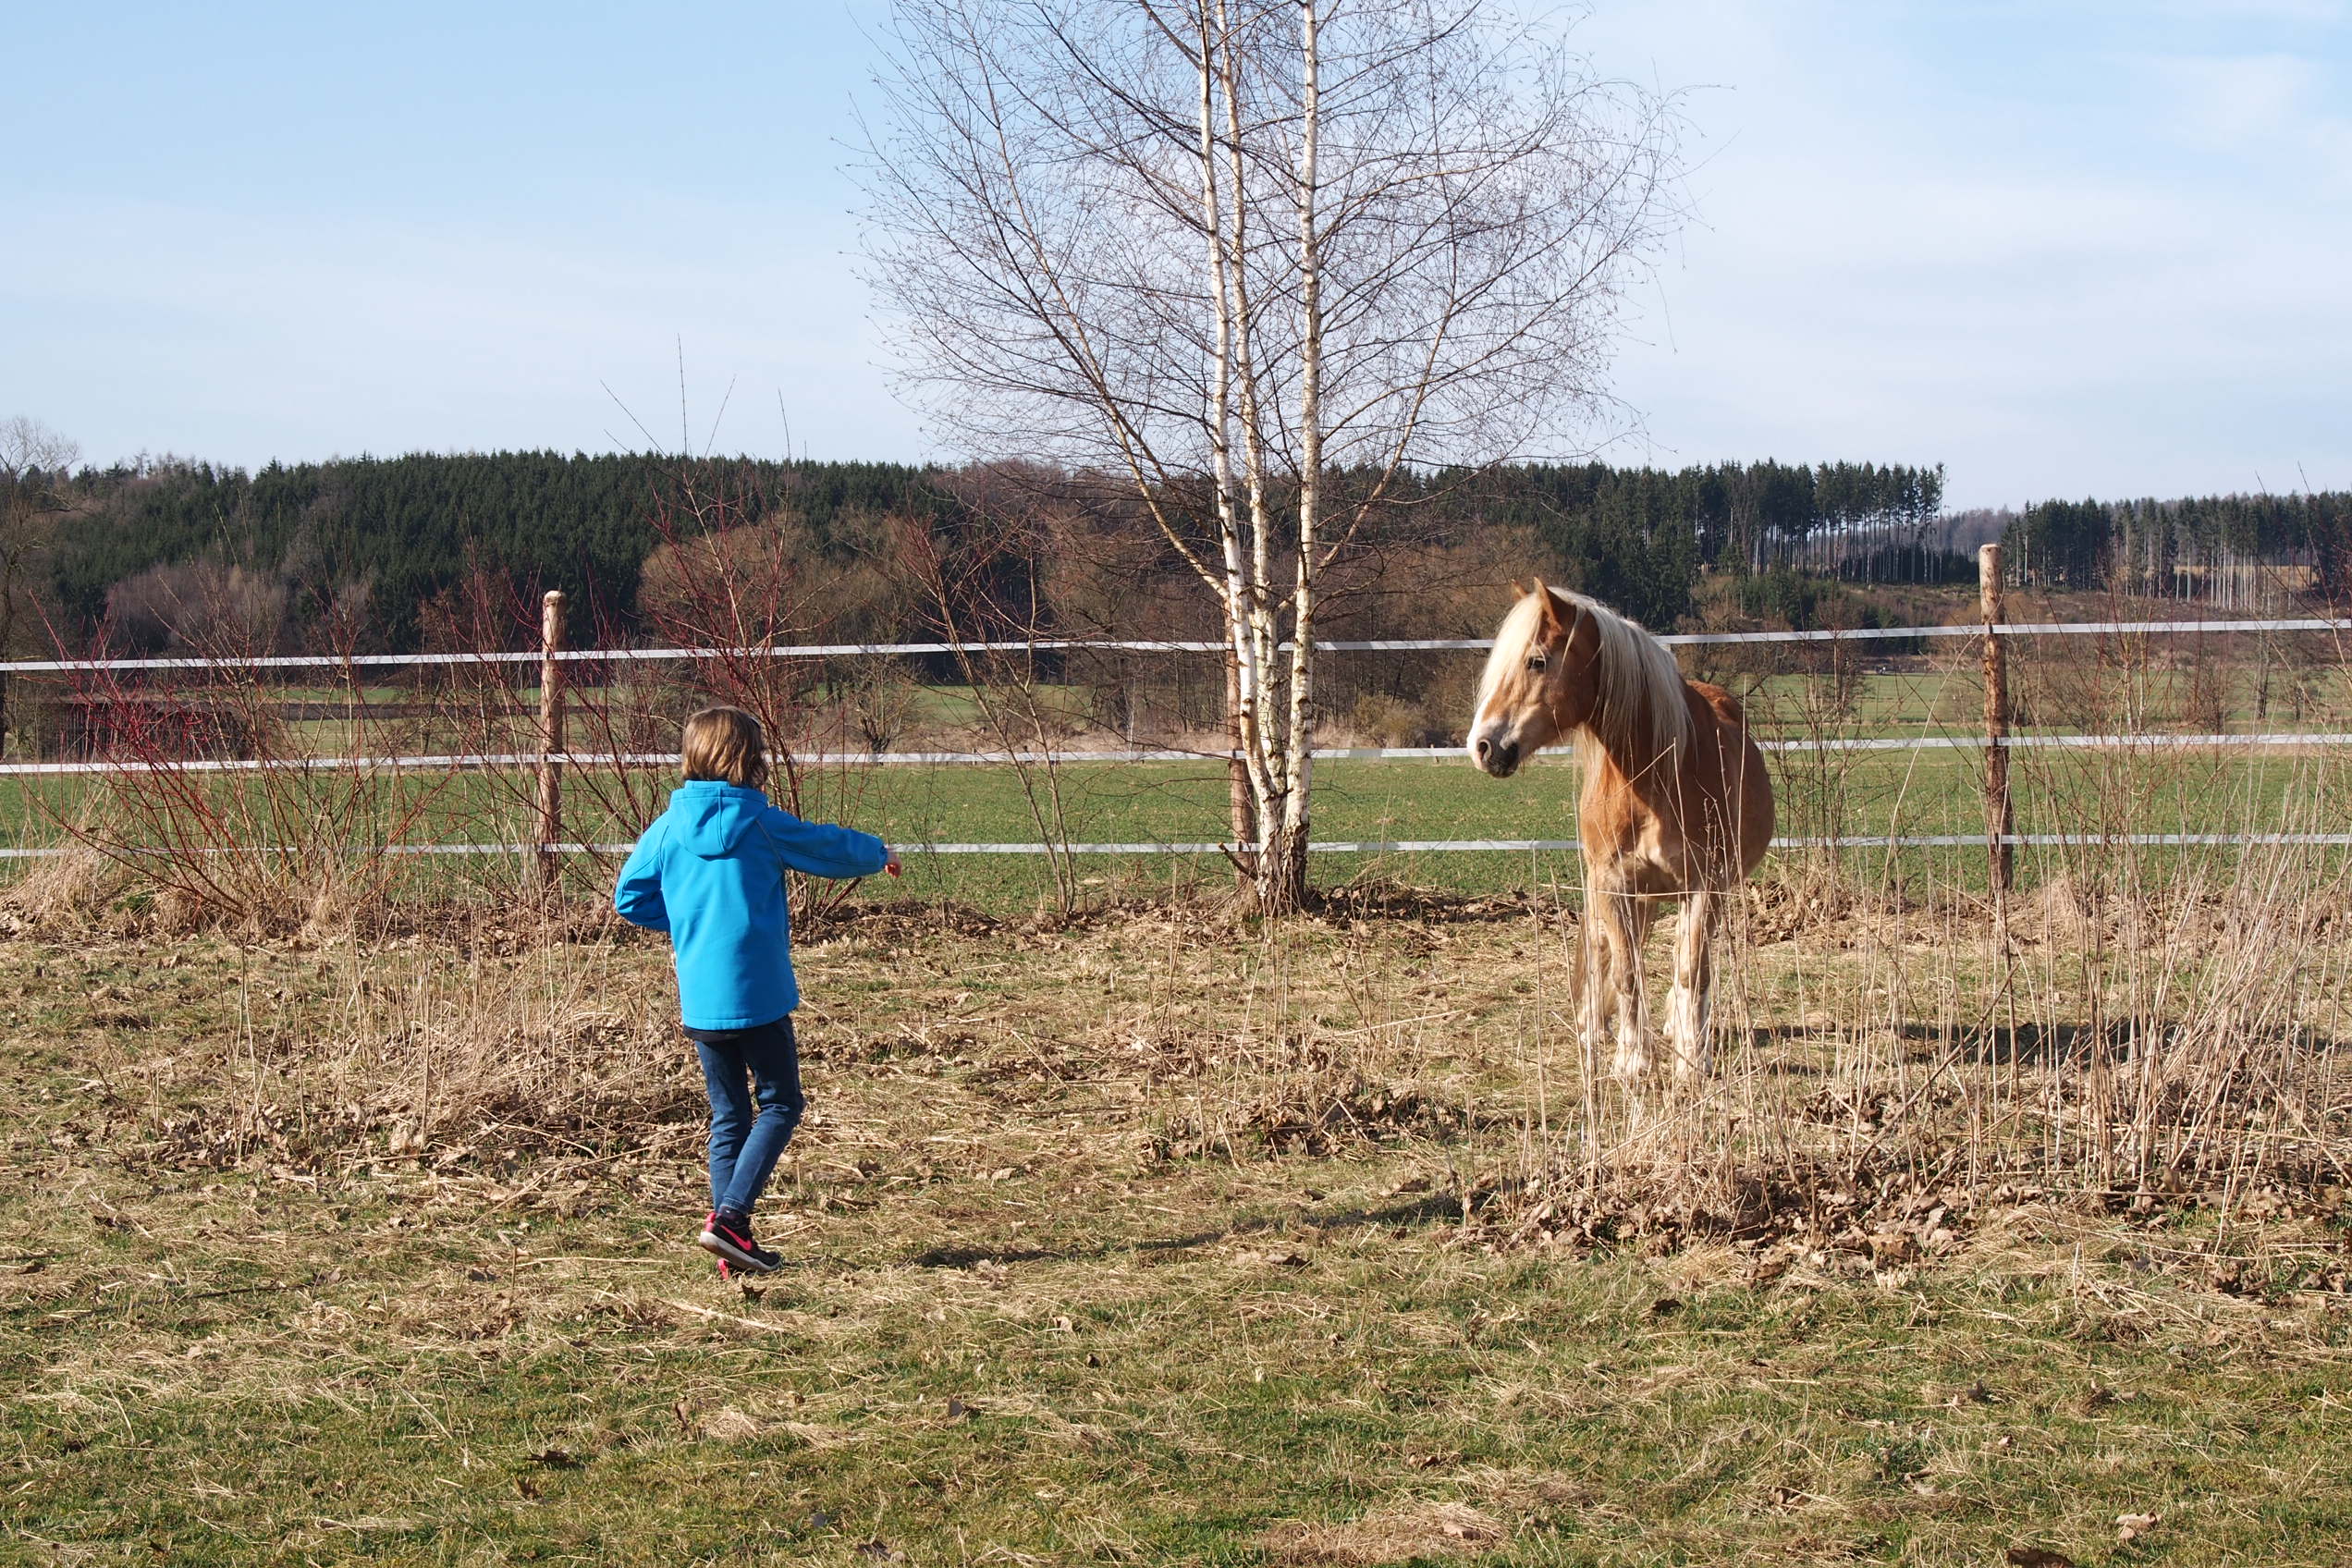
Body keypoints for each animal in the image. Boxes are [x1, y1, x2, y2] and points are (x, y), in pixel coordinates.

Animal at [1467, 580, 1773, 1082]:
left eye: (1536, 661)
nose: (1484, 747)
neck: (1658, 777)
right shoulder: (1614, 885)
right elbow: (1626, 972)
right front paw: (1632, 1060)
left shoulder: (1706, 886)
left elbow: (1692, 969)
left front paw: (1692, 1058)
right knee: (1604, 953)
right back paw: (1595, 1029)